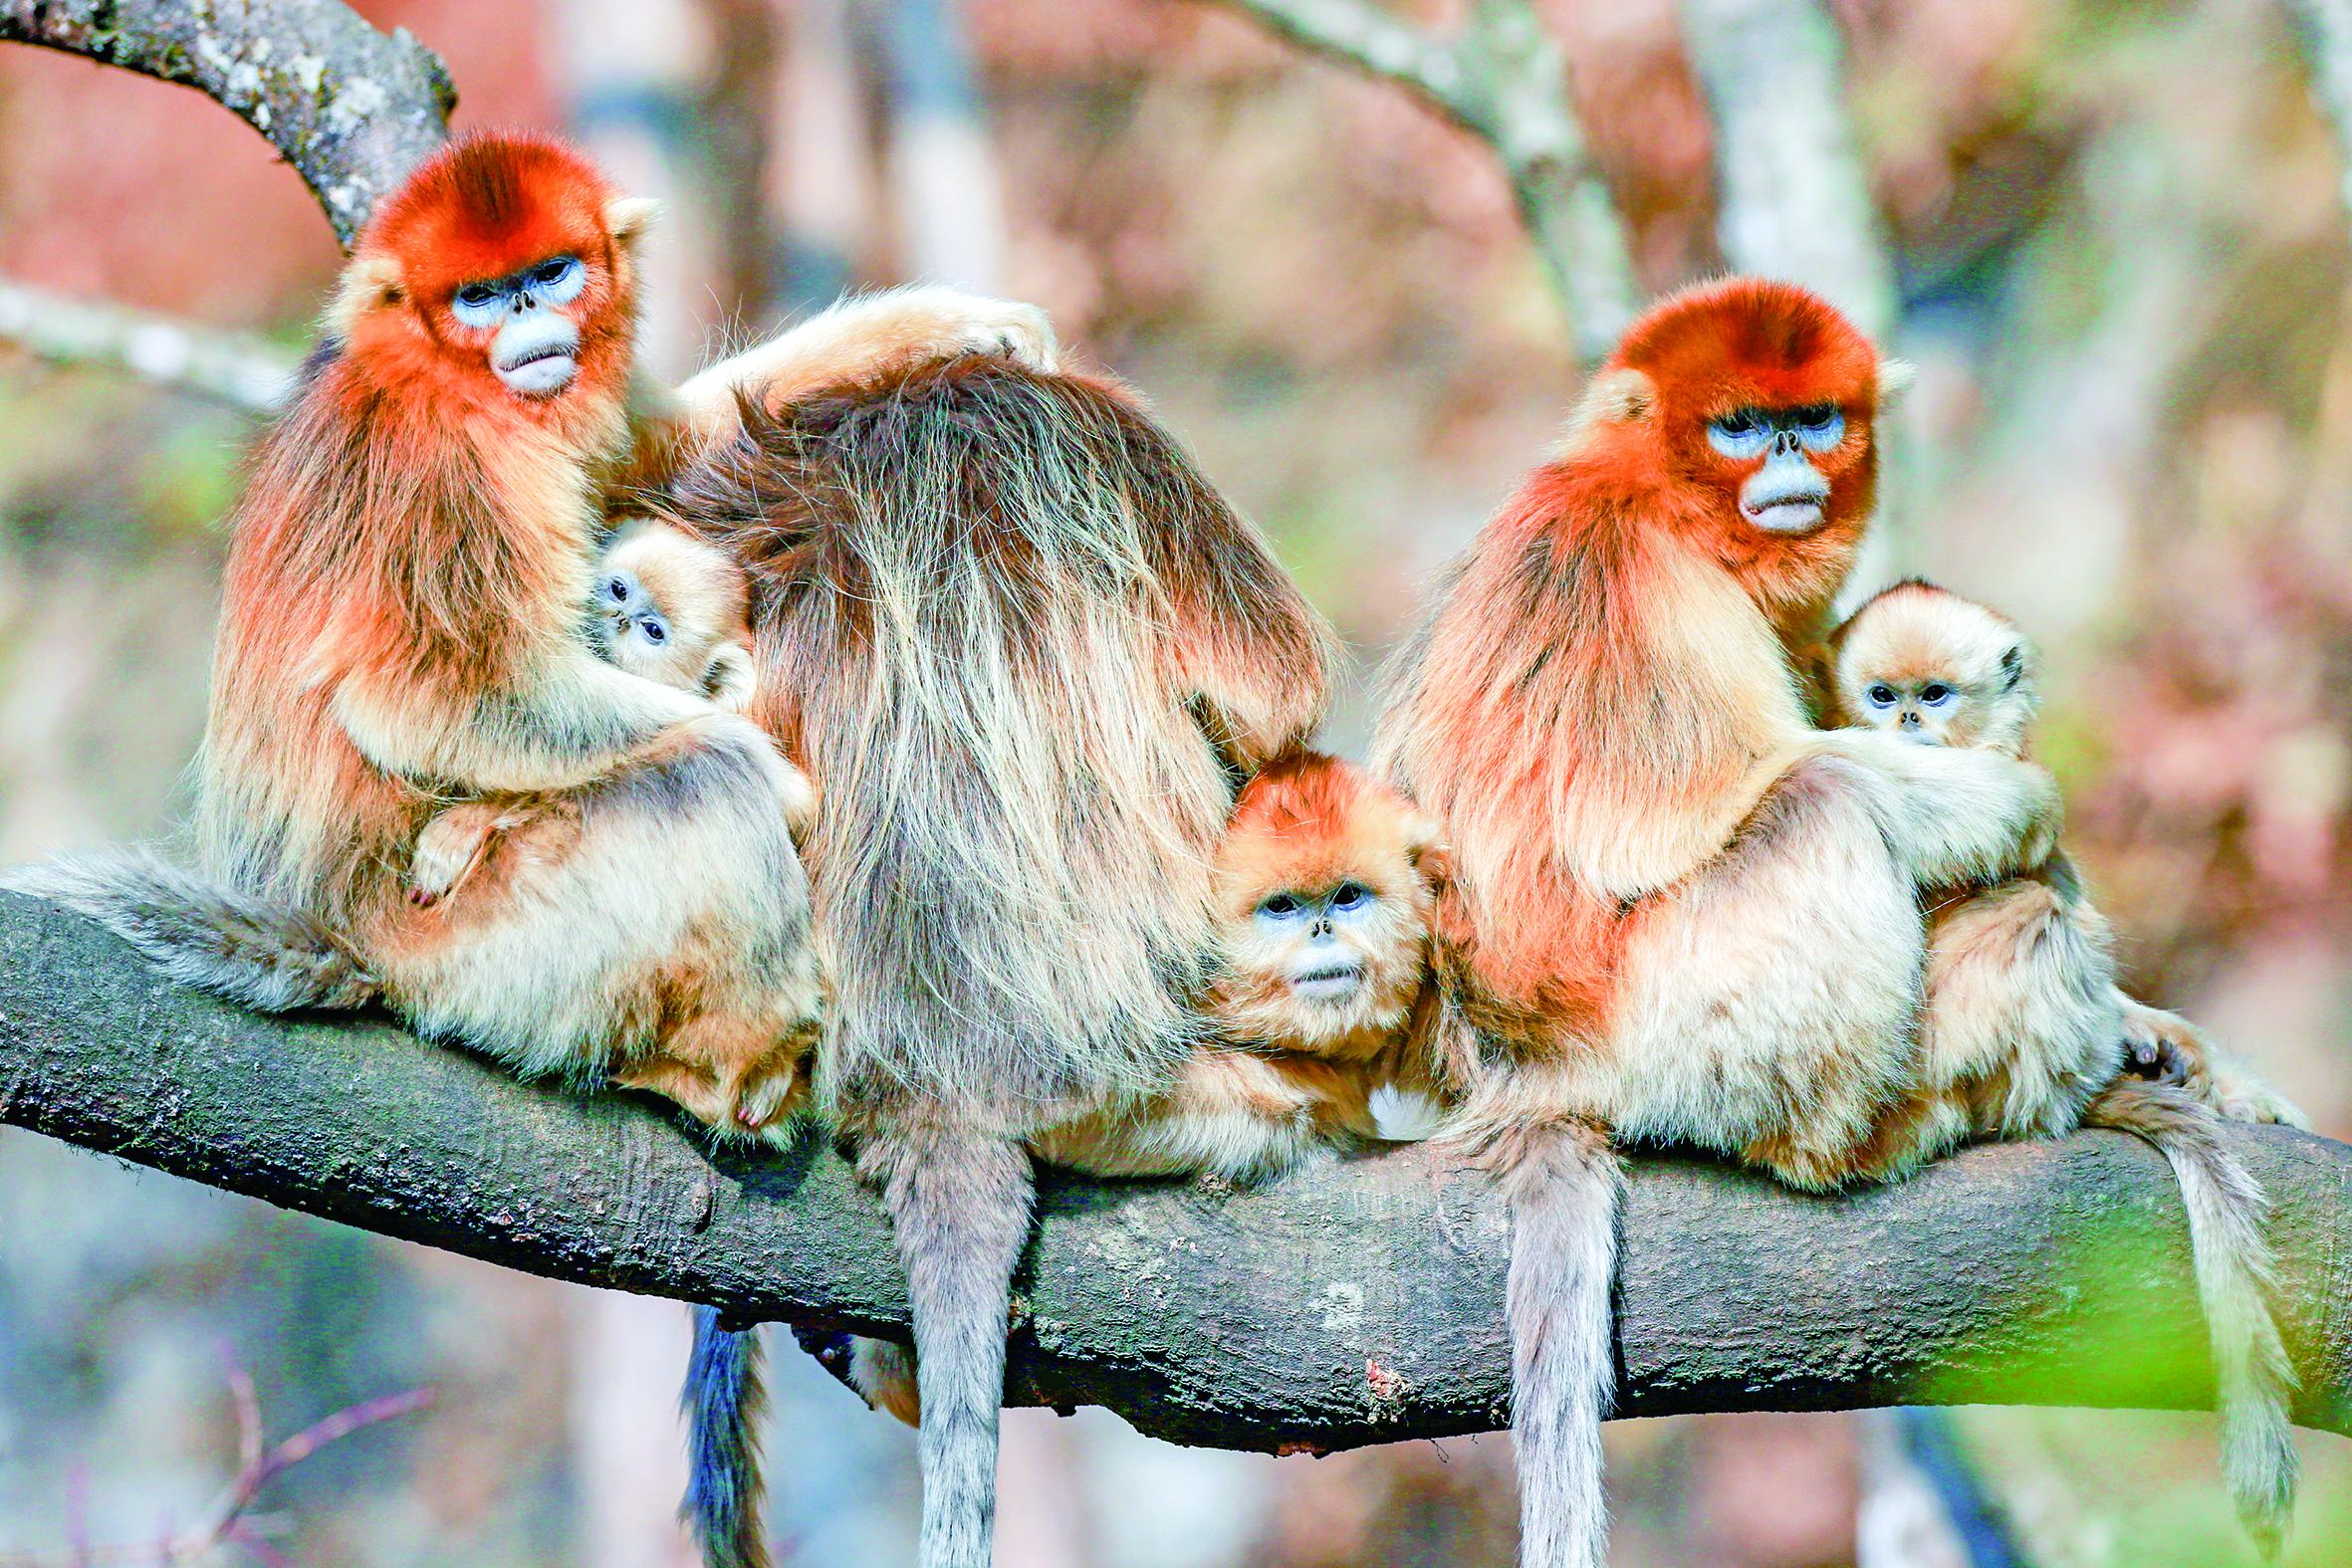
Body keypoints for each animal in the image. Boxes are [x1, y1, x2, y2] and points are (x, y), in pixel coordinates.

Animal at [4, 133, 1058, 1146]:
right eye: (476, 295)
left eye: (550, 272)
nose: (522, 314)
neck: (443, 373)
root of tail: (336, 931)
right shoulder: (449, 459)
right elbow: (430, 696)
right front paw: (774, 771)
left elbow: (669, 447)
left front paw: (965, 325)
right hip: (471, 950)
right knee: (701, 787)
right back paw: (730, 1074)